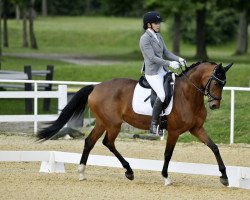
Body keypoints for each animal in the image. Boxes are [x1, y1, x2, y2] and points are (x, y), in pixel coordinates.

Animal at [37, 61, 232, 186]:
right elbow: (168, 154)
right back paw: (129, 171)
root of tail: (96, 86)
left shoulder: (196, 129)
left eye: (224, 83)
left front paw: (224, 177)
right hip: (113, 124)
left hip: (102, 123)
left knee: (89, 142)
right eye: (216, 82)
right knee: (108, 142)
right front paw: (166, 178)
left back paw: (82, 173)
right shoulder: (174, 131)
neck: (188, 95)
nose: (214, 105)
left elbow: (214, 147)